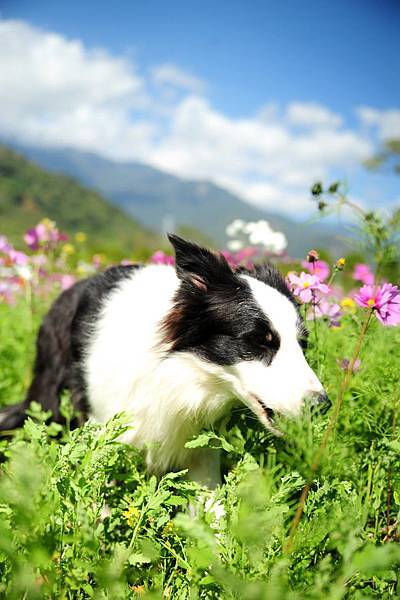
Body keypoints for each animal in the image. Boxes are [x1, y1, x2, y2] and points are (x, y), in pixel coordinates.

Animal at [0, 234, 328, 488]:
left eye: (302, 344)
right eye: (259, 341)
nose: (321, 405)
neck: (177, 370)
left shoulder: (200, 444)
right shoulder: (106, 429)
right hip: (50, 400)